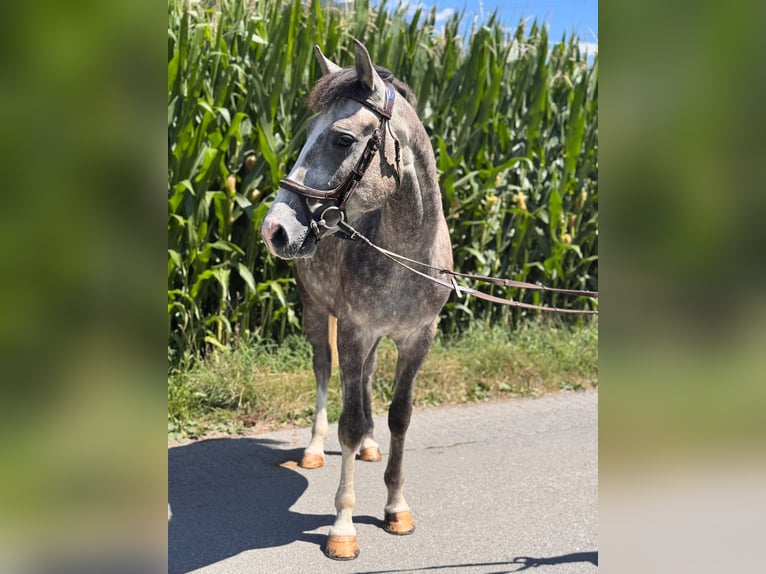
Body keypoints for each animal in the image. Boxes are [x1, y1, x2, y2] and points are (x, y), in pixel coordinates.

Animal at [260, 39, 453, 560]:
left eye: (342, 139)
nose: (275, 229)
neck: (408, 251)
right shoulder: (351, 330)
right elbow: (346, 421)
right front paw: (343, 529)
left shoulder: (416, 339)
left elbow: (400, 417)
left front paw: (396, 509)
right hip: (316, 312)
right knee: (325, 373)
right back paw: (312, 450)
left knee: (365, 380)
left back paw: (369, 445)